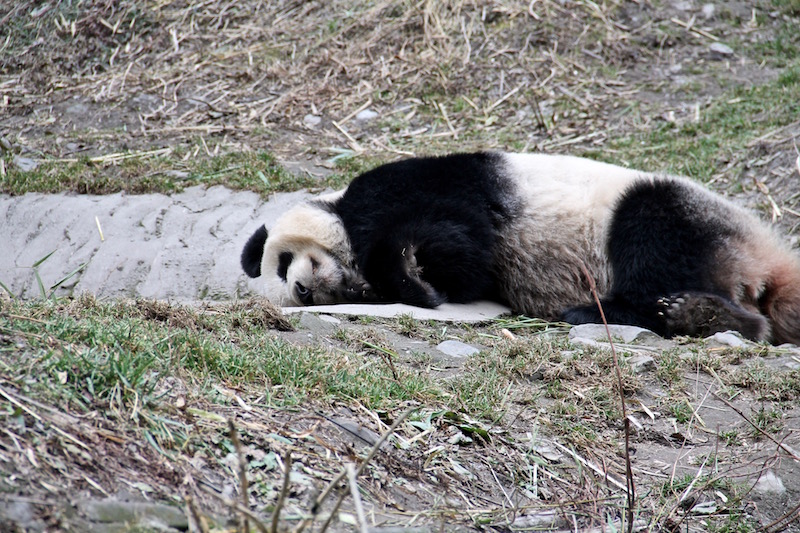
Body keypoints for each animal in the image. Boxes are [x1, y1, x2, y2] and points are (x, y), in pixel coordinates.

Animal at [241, 153, 800, 344]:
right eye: (284, 279)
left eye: (284, 262)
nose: (303, 290)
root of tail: (767, 258)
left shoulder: (417, 186)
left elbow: (464, 240)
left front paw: (411, 275)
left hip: (683, 215)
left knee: (652, 231)